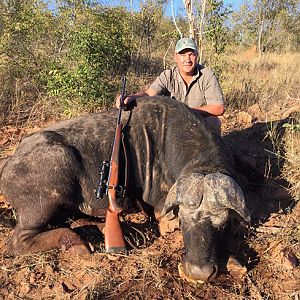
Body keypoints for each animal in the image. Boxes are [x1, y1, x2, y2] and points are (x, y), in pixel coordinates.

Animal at [0, 96, 250, 284]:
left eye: (223, 224)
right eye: (183, 221)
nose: (198, 272)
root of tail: (9, 163)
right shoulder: (161, 212)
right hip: (50, 188)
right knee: (18, 242)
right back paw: (78, 242)